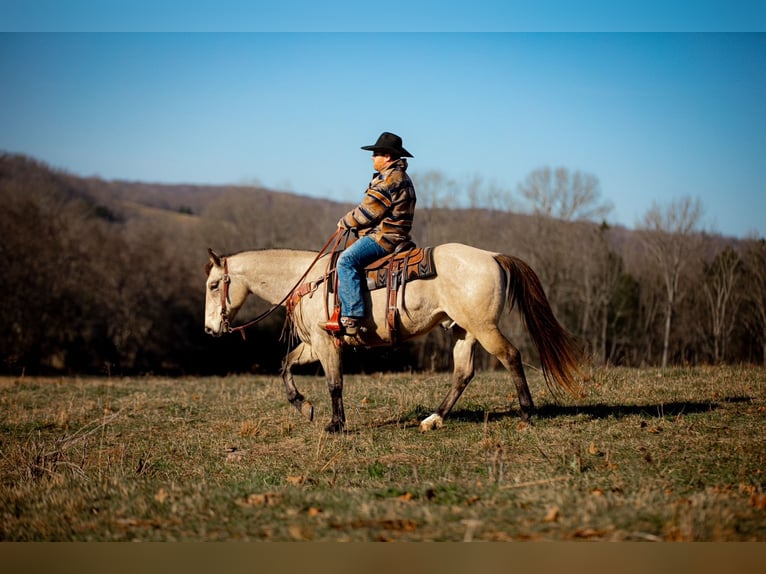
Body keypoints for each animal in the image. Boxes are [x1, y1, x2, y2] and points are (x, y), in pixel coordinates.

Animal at [204, 241, 584, 433]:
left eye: (213, 285)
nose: (210, 330)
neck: (307, 280)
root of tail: (492, 256)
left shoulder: (326, 343)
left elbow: (334, 384)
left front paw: (335, 424)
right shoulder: (313, 344)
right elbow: (284, 365)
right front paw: (304, 407)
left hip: (484, 328)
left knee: (511, 356)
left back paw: (526, 414)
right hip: (465, 331)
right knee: (463, 373)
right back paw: (433, 419)